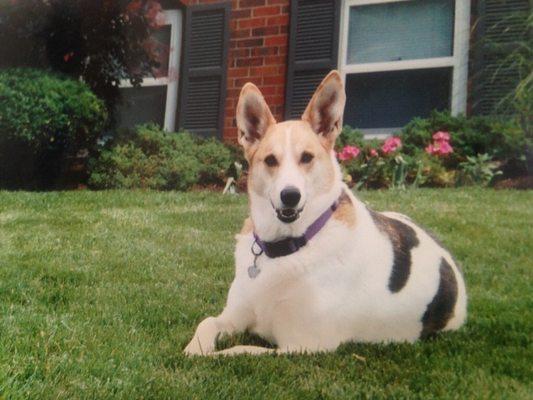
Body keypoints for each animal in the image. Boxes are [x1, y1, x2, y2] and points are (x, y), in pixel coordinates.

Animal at [183, 71, 466, 356]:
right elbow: (205, 325)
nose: (290, 195)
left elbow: (238, 350)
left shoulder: (300, 346)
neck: (287, 247)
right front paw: (194, 350)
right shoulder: (233, 316)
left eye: (307, 157)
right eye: (271, 160)